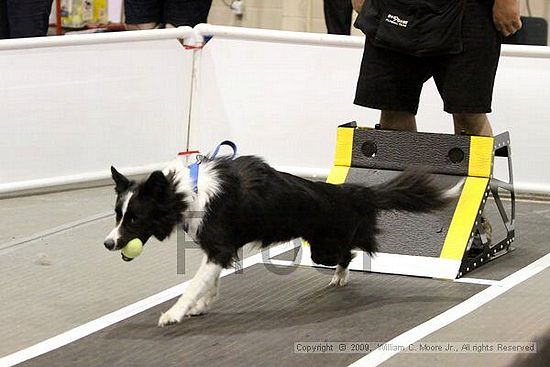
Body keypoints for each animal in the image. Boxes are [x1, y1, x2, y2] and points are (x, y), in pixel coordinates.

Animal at [105, 152, 460, 328]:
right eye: (117, 213)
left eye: (134, 218)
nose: (108, 244)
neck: (183, 192)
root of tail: (351, 191)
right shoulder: (219, 249)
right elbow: (210, 282)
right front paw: (202, 306)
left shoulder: (218, 246)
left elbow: (193, 285)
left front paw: (174, 314)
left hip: (325, 247)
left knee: (353, 249)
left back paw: (340, 277)